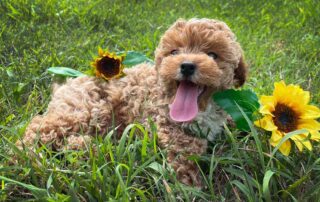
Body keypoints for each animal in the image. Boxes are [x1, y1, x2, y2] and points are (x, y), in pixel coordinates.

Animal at [16, 18, 248, 187]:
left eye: (213, 55)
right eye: (174, 52)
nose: (187, 66)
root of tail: (66, 85)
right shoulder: (160, 120)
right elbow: (184, 146)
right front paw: (190, 182)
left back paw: (90, 148)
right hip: (87, 109)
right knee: (39, 127)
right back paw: (23, 155)